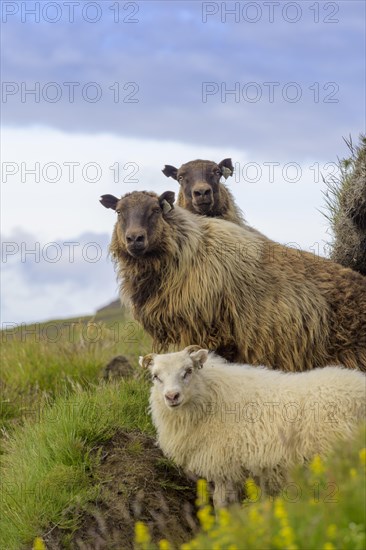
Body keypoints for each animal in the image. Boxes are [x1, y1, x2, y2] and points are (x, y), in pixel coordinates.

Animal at [140, 348, 366, 512]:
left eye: (188, 371)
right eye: (156, 376)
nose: (172, 396)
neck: (211, 396)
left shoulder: (221, 463)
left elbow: (220, 502)